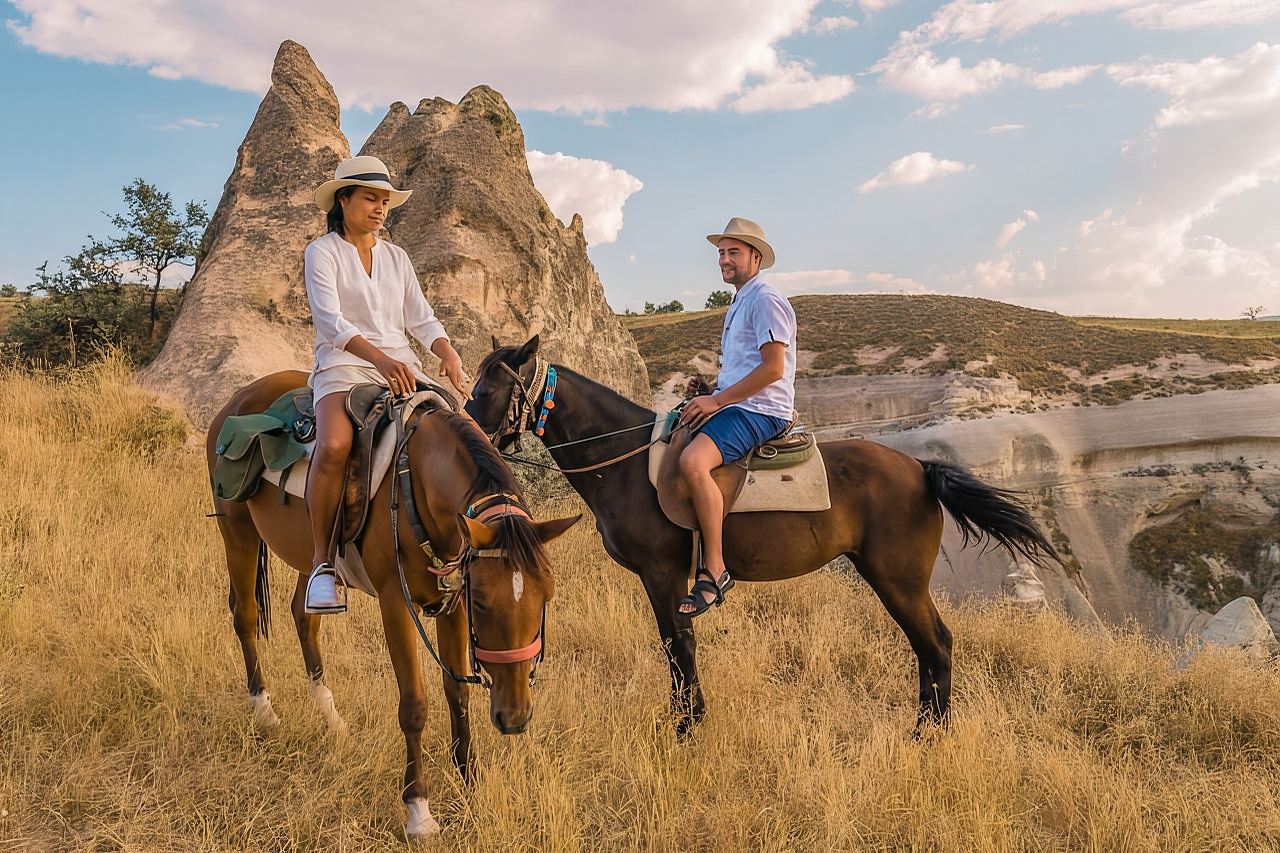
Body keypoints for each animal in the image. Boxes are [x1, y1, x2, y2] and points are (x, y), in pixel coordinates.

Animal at [206, 369, 580, 837]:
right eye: (482, 602)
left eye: (546, 595)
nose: (514, 719)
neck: (416, 480)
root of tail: (236, 400)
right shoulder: (396, 604)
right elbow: (414, 705)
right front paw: (419, 809)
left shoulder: (450, 604)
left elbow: (457, 692)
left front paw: (470, 780)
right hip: (237, 534)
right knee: (245, 616)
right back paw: (263, 710)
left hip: (311, 554)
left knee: (304, 616)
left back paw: (331, 718)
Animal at [466, 336, 1060, 737]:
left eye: (488, 388)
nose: (467, 428)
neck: (629, 462)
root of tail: (919, 466)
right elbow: (675, 648)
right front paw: (685, 719)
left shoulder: (664, 574)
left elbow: (678, 645)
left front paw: (687, 727)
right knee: (929, 647)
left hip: (899, 579)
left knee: (935, 644)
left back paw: (926, 736)